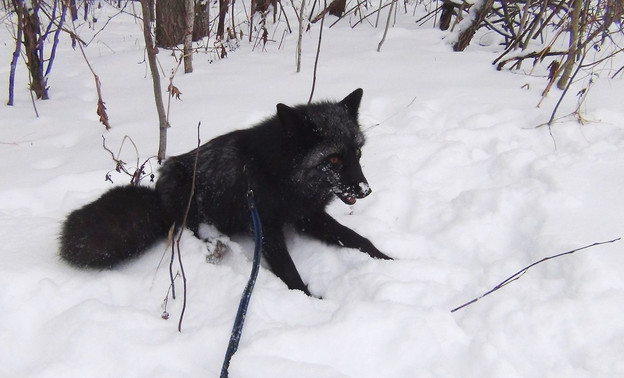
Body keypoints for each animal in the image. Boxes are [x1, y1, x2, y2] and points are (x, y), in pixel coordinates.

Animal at [59, 89, 390, 296]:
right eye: (332, 159)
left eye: (357, 152)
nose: (365, 190)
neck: (280, 172)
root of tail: (157, 197)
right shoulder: (265, 226)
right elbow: (288, 268)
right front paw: (306, 298)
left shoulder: (307, 216)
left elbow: (356, 238)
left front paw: (388, 261)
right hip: (187, 194)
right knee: (188, 231)